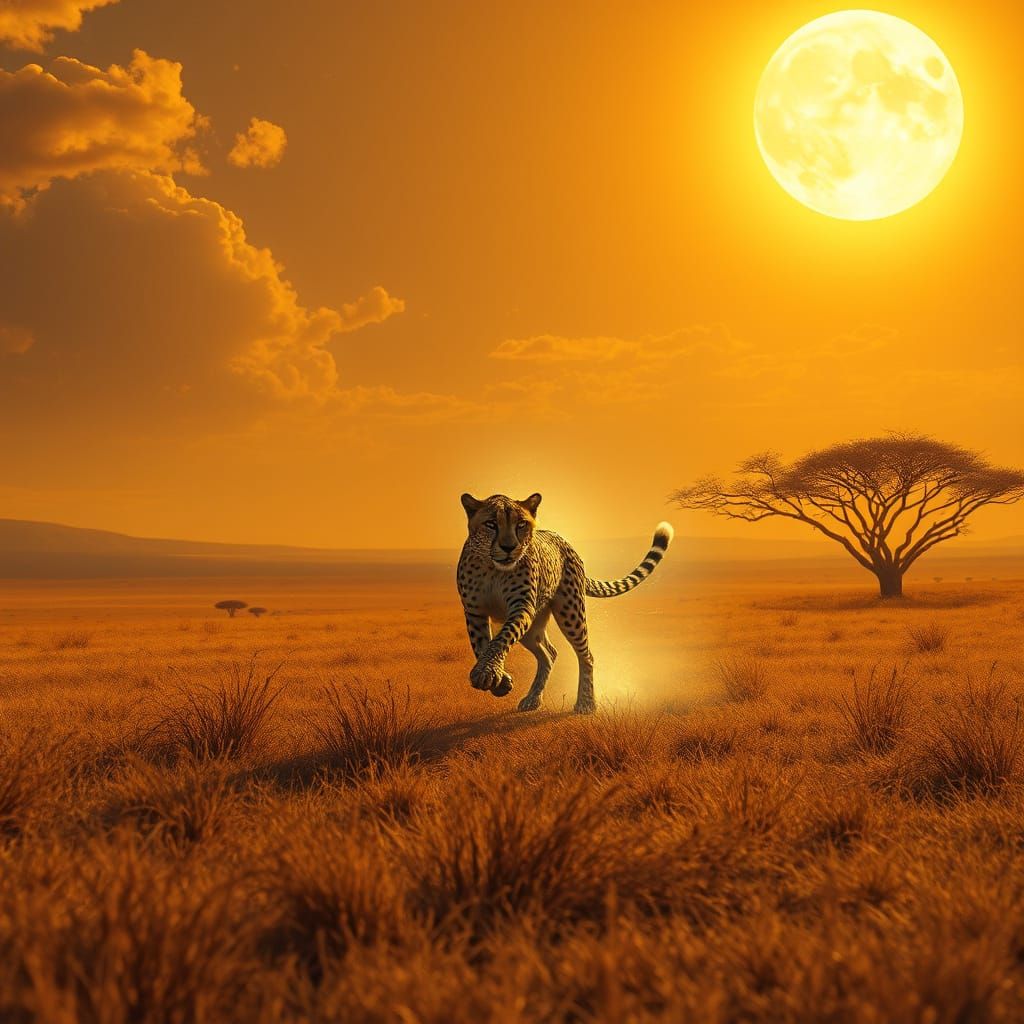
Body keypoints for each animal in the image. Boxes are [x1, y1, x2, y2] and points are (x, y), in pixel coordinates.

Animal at [457, 491, 673, 714]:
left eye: (521, 524)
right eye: (491, 524)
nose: (508, 547)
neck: (493, 568)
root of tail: (564, 540)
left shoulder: (521, 607)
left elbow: (502, 638)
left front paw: (488, 672)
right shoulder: (474, 612)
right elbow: (481, 645)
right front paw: (499, 680)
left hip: (570, 612)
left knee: (586, 655)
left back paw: (586, 703)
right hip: (534, 626)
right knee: (549, 654)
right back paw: (533, 698)